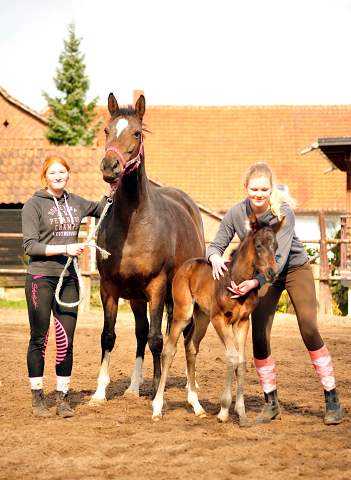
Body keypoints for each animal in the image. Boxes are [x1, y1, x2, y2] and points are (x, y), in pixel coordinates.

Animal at [153, 214, 284, 424]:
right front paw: (224, 410)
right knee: (168, 350)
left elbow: (242, 362)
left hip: (202, 318)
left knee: (190, 346)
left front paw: (241, 414)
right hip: (184, 314)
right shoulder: (219, 319)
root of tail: (186, 265)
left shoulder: (242, 322)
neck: (235, 279)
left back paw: (197, 406)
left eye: (276, 245)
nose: (272, 273)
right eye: (258, 245)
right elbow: (231, 357)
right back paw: (157, 408)